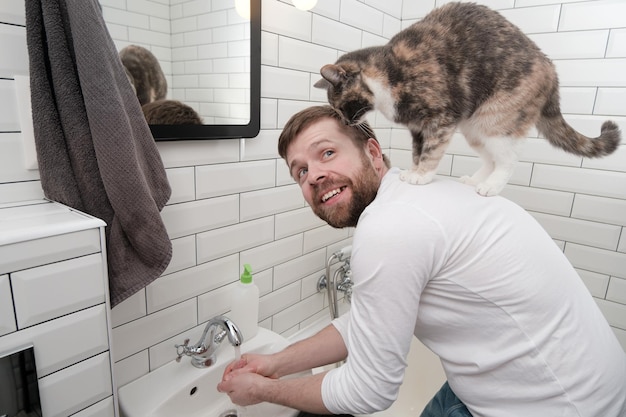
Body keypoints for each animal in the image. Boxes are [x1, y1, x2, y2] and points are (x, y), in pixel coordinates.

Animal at [314, 2, 616, 197]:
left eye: (343, 106)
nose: (346, 122)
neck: (388, 72)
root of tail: (551, 69)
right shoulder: (417, 128)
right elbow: (417, 152)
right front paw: (413, 170)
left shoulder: (441, 119)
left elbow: (431, 151)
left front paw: (422, 176)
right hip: (474, 127)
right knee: (490, 159)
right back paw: (474, 180)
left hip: (496, 119)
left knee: (507, 160)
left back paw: (491, 187)